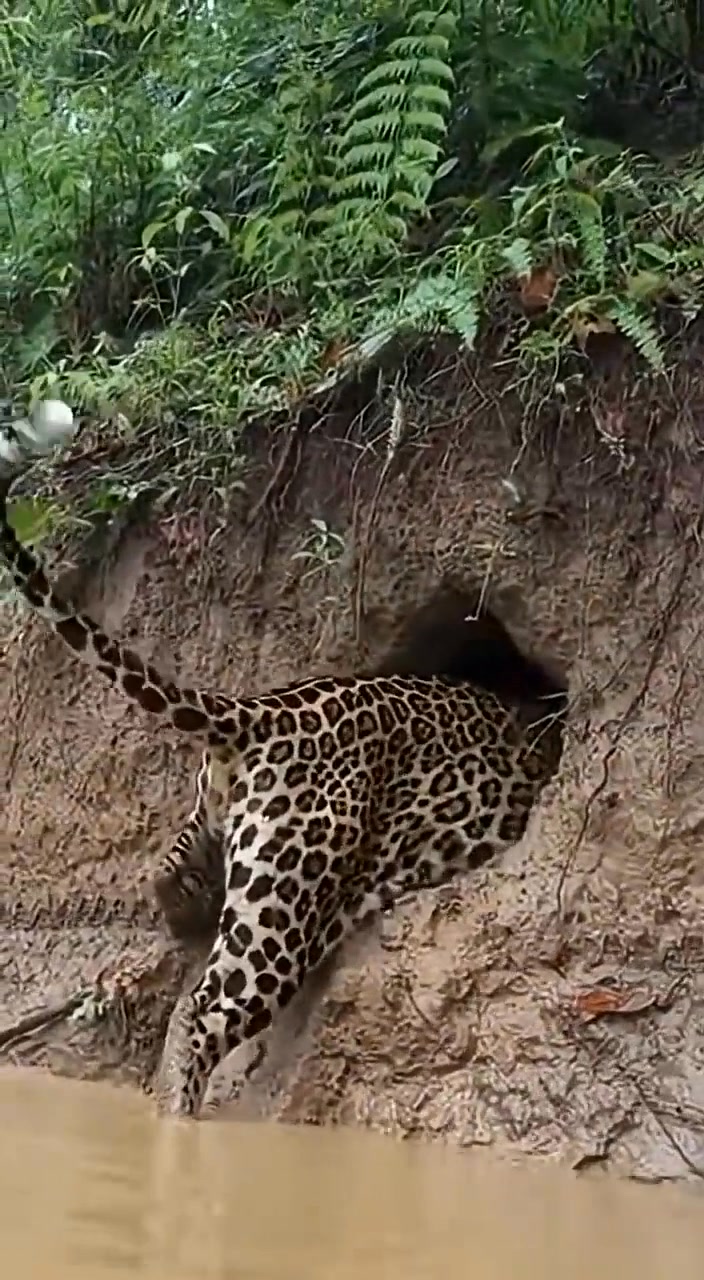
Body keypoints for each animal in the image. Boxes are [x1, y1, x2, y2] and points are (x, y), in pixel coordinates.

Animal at [1, 478, 567, 1118]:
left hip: (219, 822)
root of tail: (262, 711)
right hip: (285, 904)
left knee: (168, 885)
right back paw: (179, 1117)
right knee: (204, 1011)